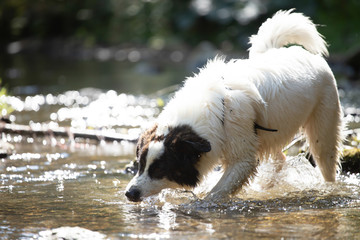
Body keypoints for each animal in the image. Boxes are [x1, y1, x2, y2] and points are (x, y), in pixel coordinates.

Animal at [125, 9, 342, 202]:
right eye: (140, 164)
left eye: (160, 169)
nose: (129, 193)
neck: (212, 110)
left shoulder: (242, 158)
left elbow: (217, 191)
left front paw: (201, 204)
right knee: (280, 158)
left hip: (323, 129)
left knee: (325, 160)